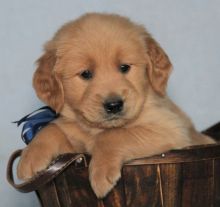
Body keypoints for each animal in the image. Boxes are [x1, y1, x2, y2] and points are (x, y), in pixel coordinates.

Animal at [17, 12, 215, 197]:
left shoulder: (172, 129)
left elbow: (113, 135)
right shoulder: (74, 144)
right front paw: (30, 157)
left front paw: (100, 172)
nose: (114, 105)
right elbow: (51, 128)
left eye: (124, 67)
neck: (95, 130)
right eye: (86, 74)